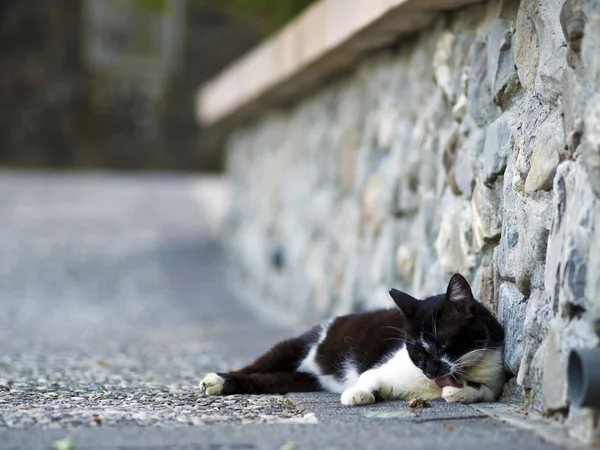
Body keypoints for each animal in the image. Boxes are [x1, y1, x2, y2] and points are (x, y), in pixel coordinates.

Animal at [199, 272, 504, 406]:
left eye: (443, 344)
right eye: (416, 351)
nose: (430, 370)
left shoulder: (494, 378)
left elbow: (482, 391)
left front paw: (458, 391)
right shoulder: (383, 368)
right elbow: (368, 378)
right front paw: (356, 394)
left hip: (300, 379)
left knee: (268, 380)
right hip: (296, 346)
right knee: (256, 366)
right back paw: (215, 380)